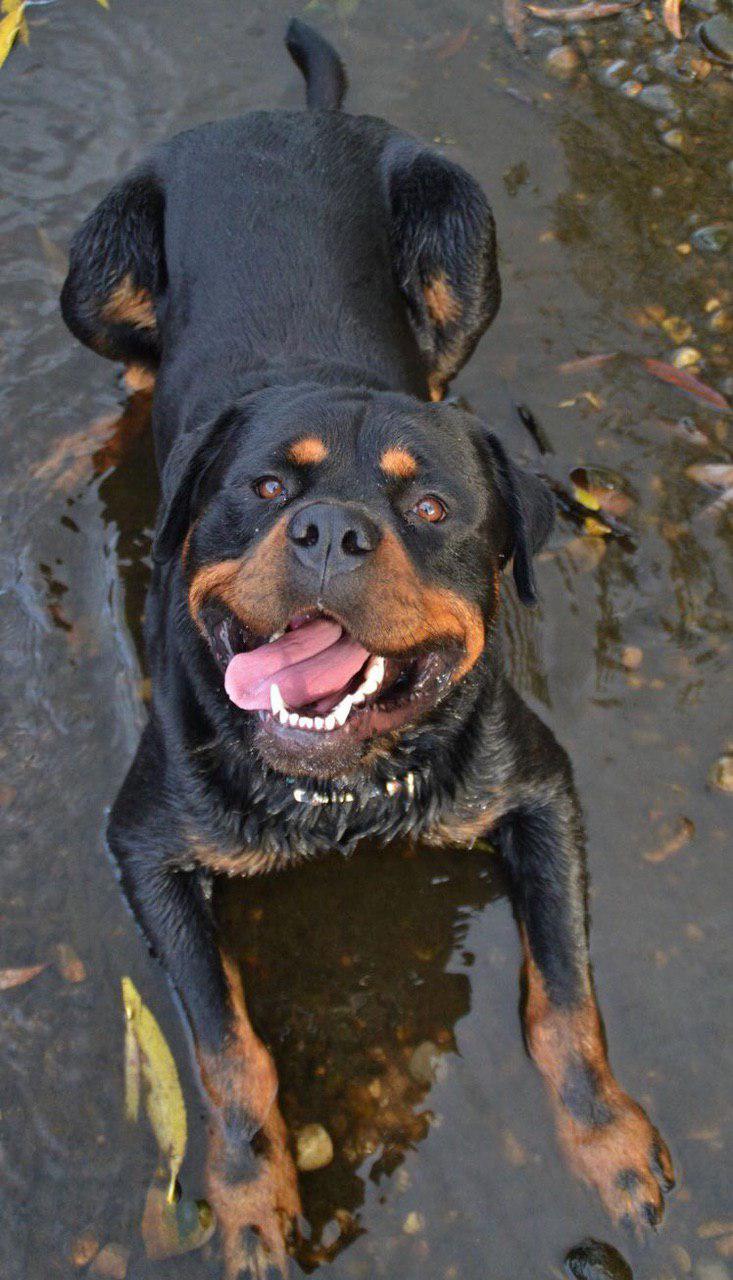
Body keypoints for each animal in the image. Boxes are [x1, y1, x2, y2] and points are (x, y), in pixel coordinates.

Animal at [60, 22, 670, 1280]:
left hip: (458, 221)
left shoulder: (540, 787)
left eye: (429, 508)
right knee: (132, 363)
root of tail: (290, 116)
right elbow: (224, 1045)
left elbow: (567, 993)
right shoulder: (145, 841)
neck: (343, 789)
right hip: (93, 273)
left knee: (438, 346)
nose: (332, 529)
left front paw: (609, 1141)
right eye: (262, 487)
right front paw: (249, 1193)